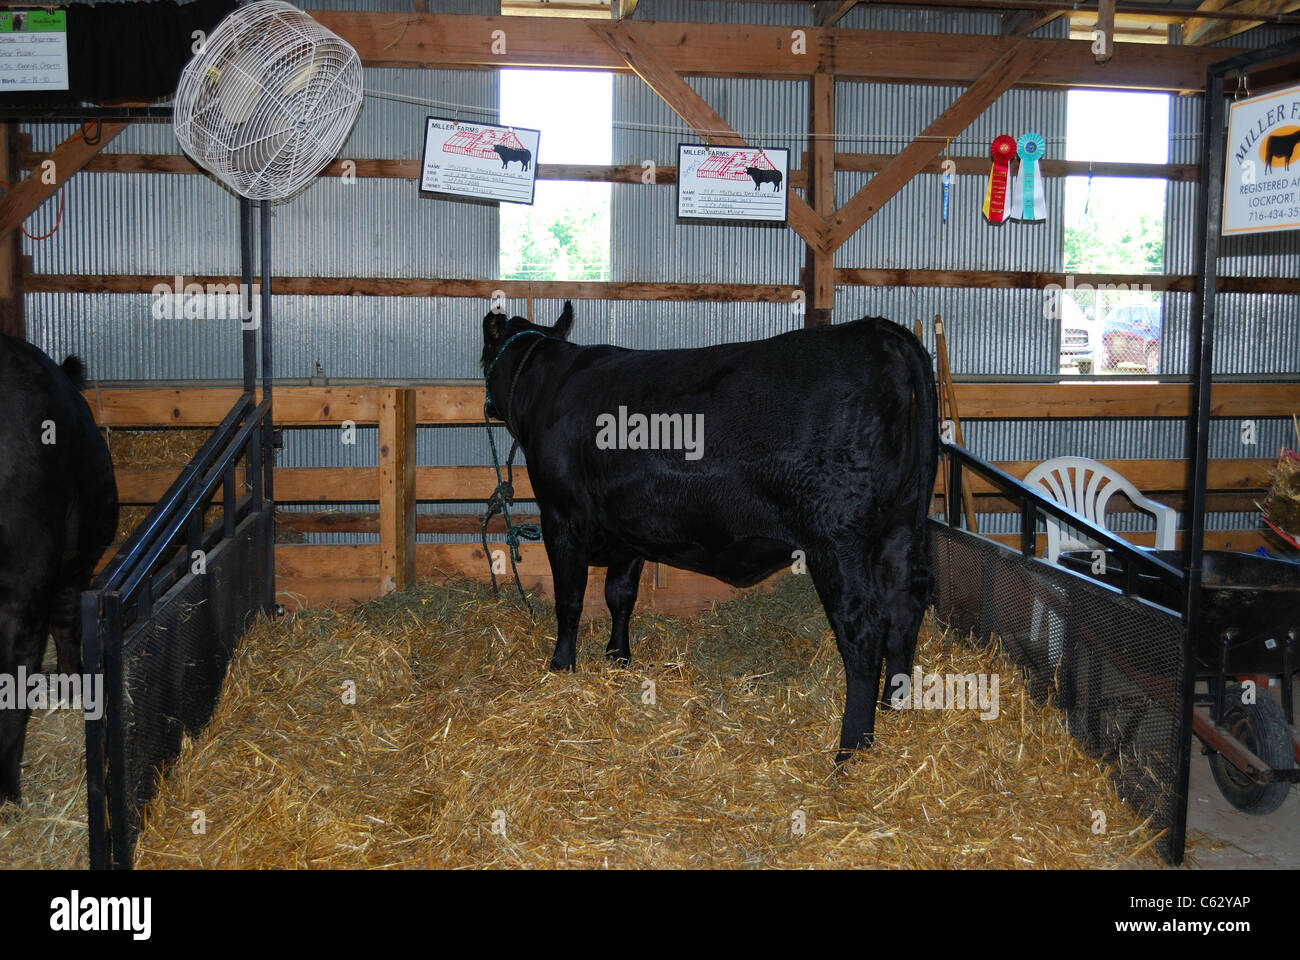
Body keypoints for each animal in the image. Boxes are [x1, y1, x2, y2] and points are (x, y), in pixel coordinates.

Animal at [483, 303, 941, 759]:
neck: (550, 386)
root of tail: (877, 329)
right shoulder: (628, 528)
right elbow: (620, 597)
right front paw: (618, 659)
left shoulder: (560, 516)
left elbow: (570, 601)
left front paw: (561, 666)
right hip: (901, 526)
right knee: (906, 603)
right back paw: (895, 704)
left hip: (838, 539)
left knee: (862, 627)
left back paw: (851, 748)